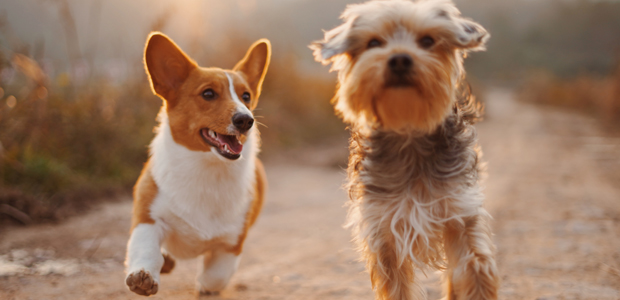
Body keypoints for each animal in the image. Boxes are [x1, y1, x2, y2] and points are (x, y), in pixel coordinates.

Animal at [124, 32, 270, 296]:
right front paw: (143, 276)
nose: (246, 120)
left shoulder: (231, 243)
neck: (206, 168)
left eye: (246, 96)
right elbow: (146, 249)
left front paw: (204, 286)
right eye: (208, 94)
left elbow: (216, 276)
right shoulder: (148, 218)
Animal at [310, 1, 498, 298]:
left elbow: (475, 269)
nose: (399, 59)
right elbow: (397, 286)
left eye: (428, 41)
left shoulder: (460, 213)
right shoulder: (384, 229)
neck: (409, 131)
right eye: (374, 42)